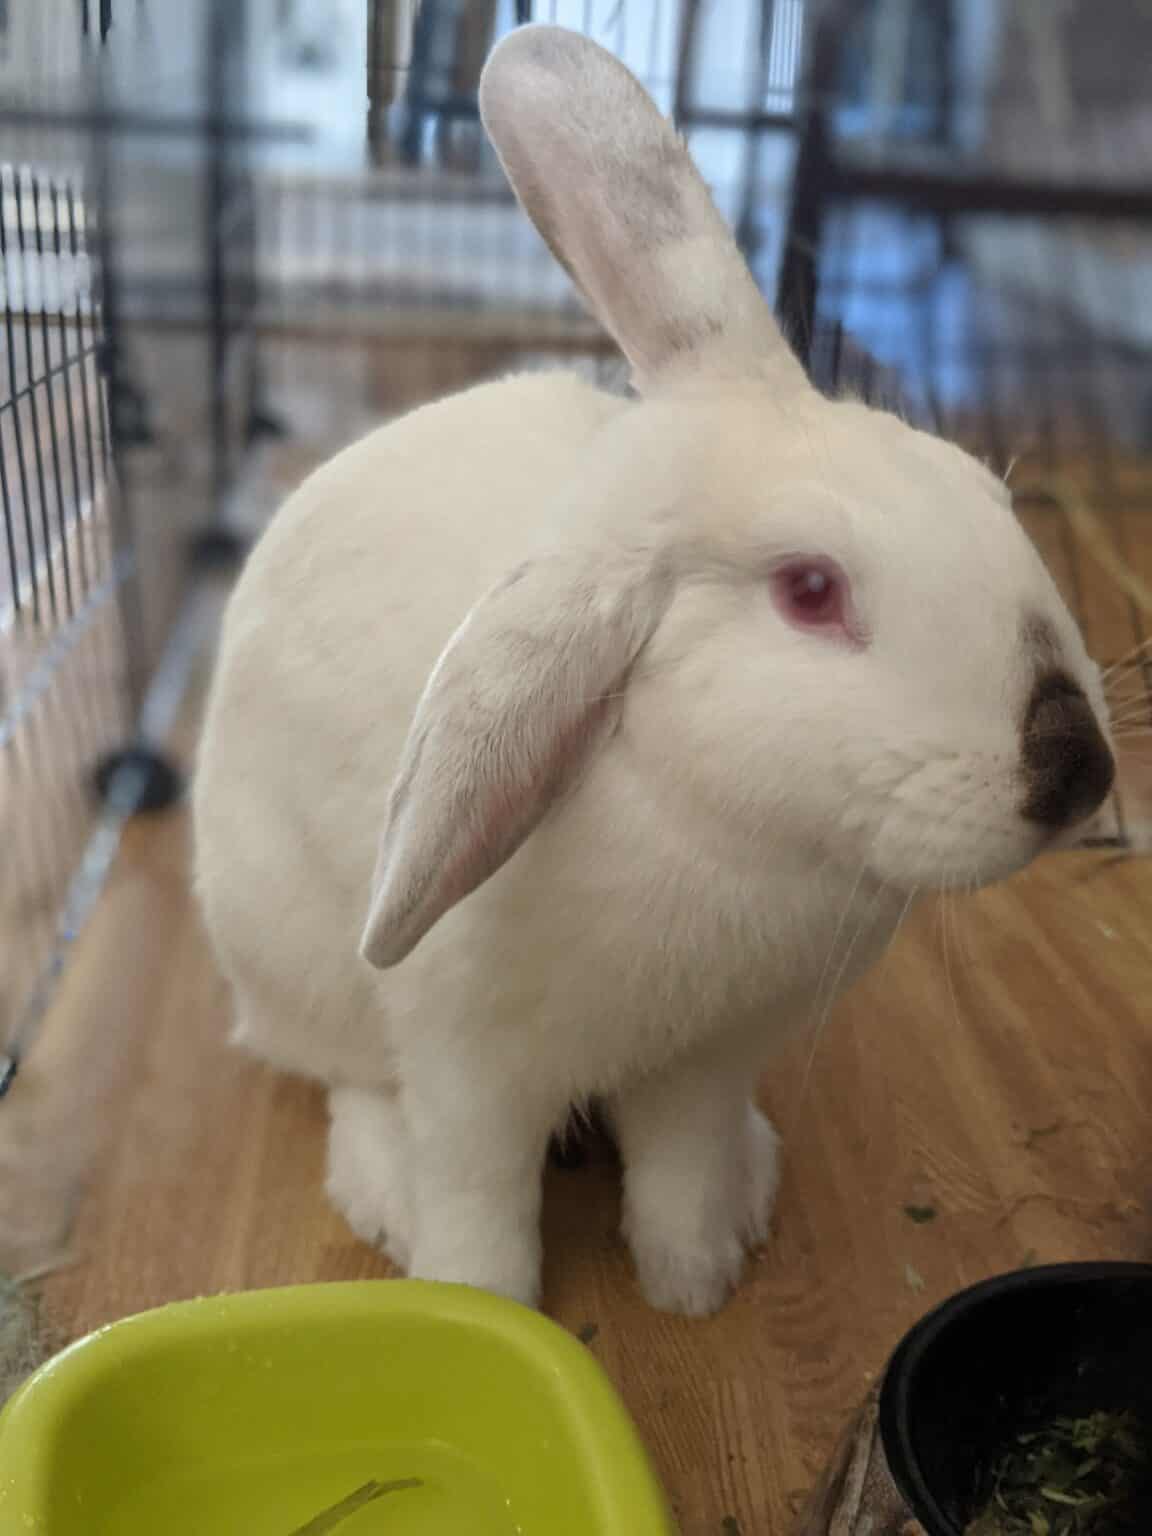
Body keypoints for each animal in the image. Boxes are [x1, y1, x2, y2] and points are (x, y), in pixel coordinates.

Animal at [192, 25, 1115, 1316]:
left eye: (987, 490)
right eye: (810, 590)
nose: (1078, 771)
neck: (723, 833)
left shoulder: (713, 1060)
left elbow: (679, 1158)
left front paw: (696, 1278)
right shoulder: (470, 1069)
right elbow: (479, 1197)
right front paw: (482, 1302)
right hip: (295, 965)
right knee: (349, 1083)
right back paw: (383, 1190)